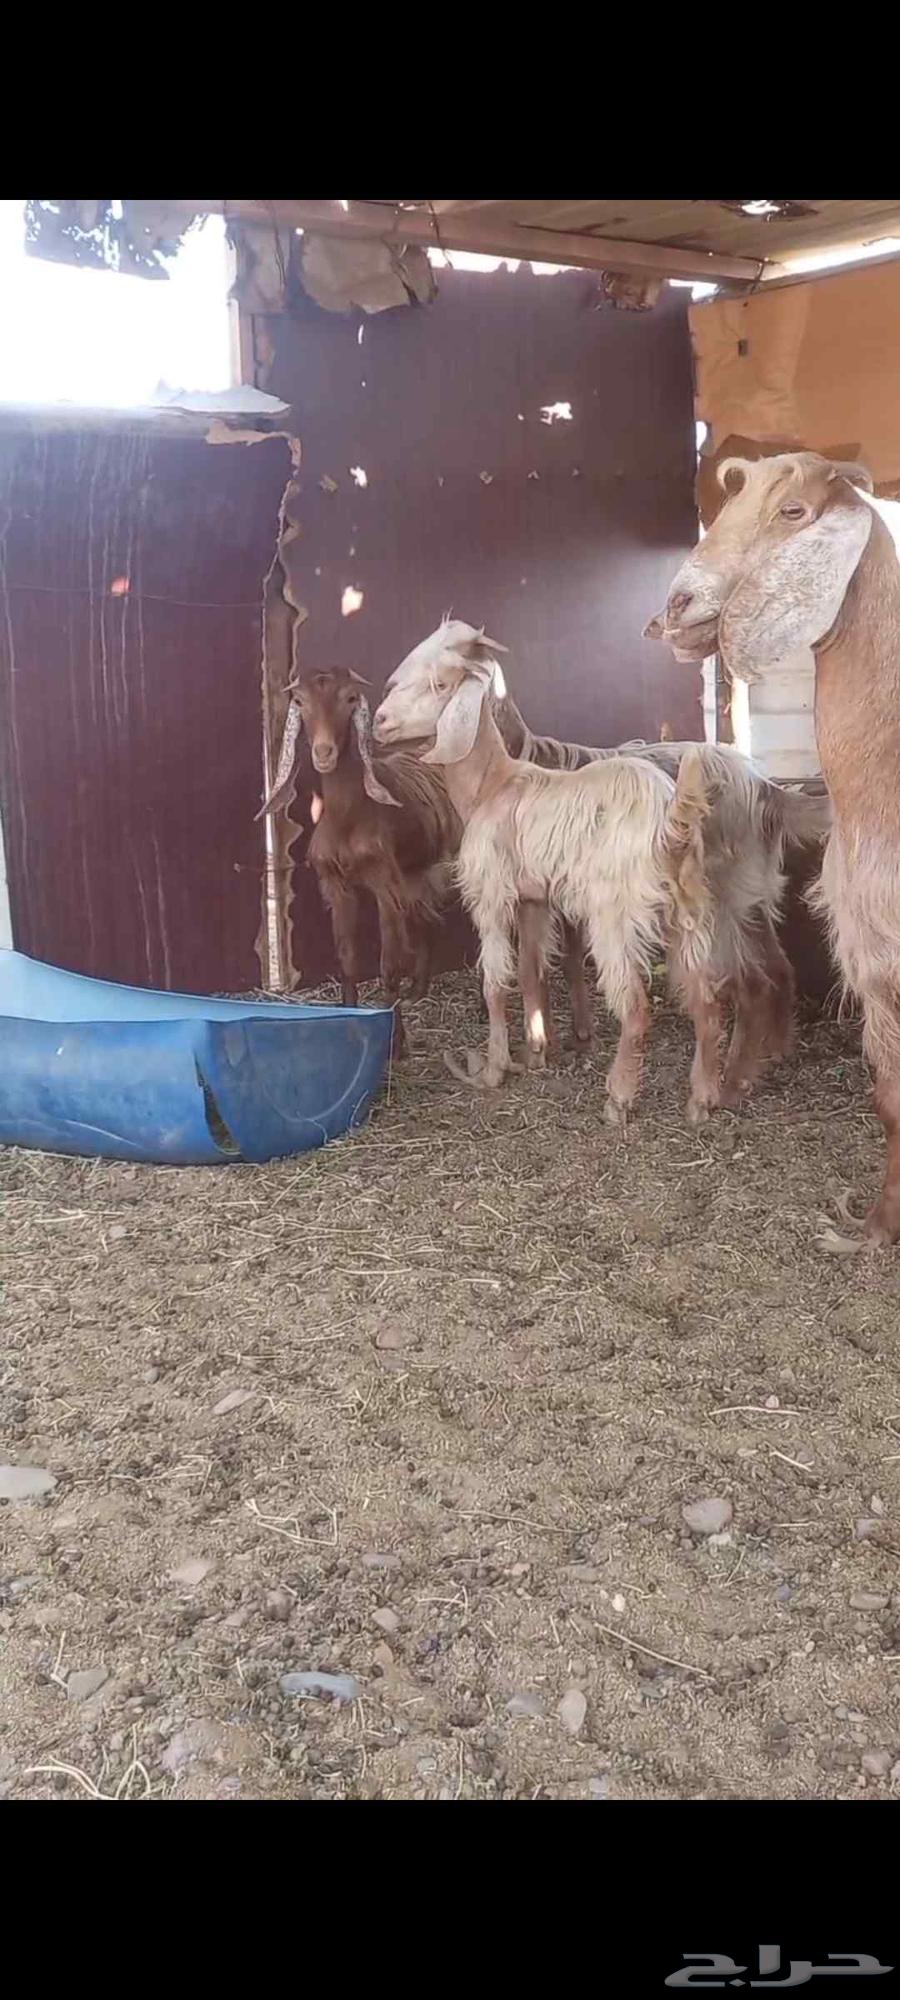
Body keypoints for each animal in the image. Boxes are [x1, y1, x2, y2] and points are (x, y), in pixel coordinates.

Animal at [260, 665, 461, 1056]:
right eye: (300, 701)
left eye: (350, 698)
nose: (324, 752)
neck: (350, 816)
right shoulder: (338, 885)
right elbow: (347, 958)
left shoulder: (385, 887)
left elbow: (388, 965)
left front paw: (396, 1043)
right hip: (416, 872)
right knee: (426, 920)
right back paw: (418, 990)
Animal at [372, 620, 721, 1124]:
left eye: (440, 684)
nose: (379, 721)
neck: (492, 783)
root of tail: (670, 822)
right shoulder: (533, 900)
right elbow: (531, 971)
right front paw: (537, 1052)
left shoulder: (491, 894)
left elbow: (495, 982)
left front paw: (495, 1068)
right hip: (688, 913)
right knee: (706, 1001)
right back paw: (703, 1099)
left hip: (616, 916)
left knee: (637, 1009)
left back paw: (618, 1099)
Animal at [491, 665, 830, 1103]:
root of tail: (763, 787)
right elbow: (556, 963)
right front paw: (566, 1036)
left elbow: (549, 964)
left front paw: (563, 1039)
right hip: (750, 898)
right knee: (780, 968)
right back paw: (776, 1050)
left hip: (719, 903)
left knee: (751, 982)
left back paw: (732, 1078)